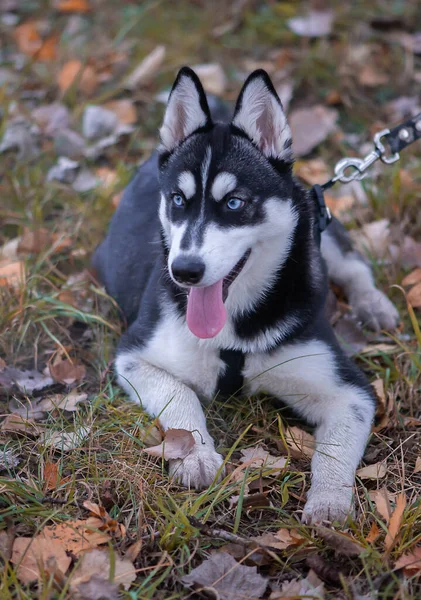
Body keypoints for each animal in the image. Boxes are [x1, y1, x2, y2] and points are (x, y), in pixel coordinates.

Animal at [93, 67, 398, 524]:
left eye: (235, 203)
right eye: (178, 200)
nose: (185, 271)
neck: (234, 328)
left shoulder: (350, 390)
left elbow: (334, 450)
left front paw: (328, 502)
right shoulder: (135, 355)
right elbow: (180, 395)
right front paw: (194, 454)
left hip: (315, 217)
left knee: (352, 263)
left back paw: (373, 304)